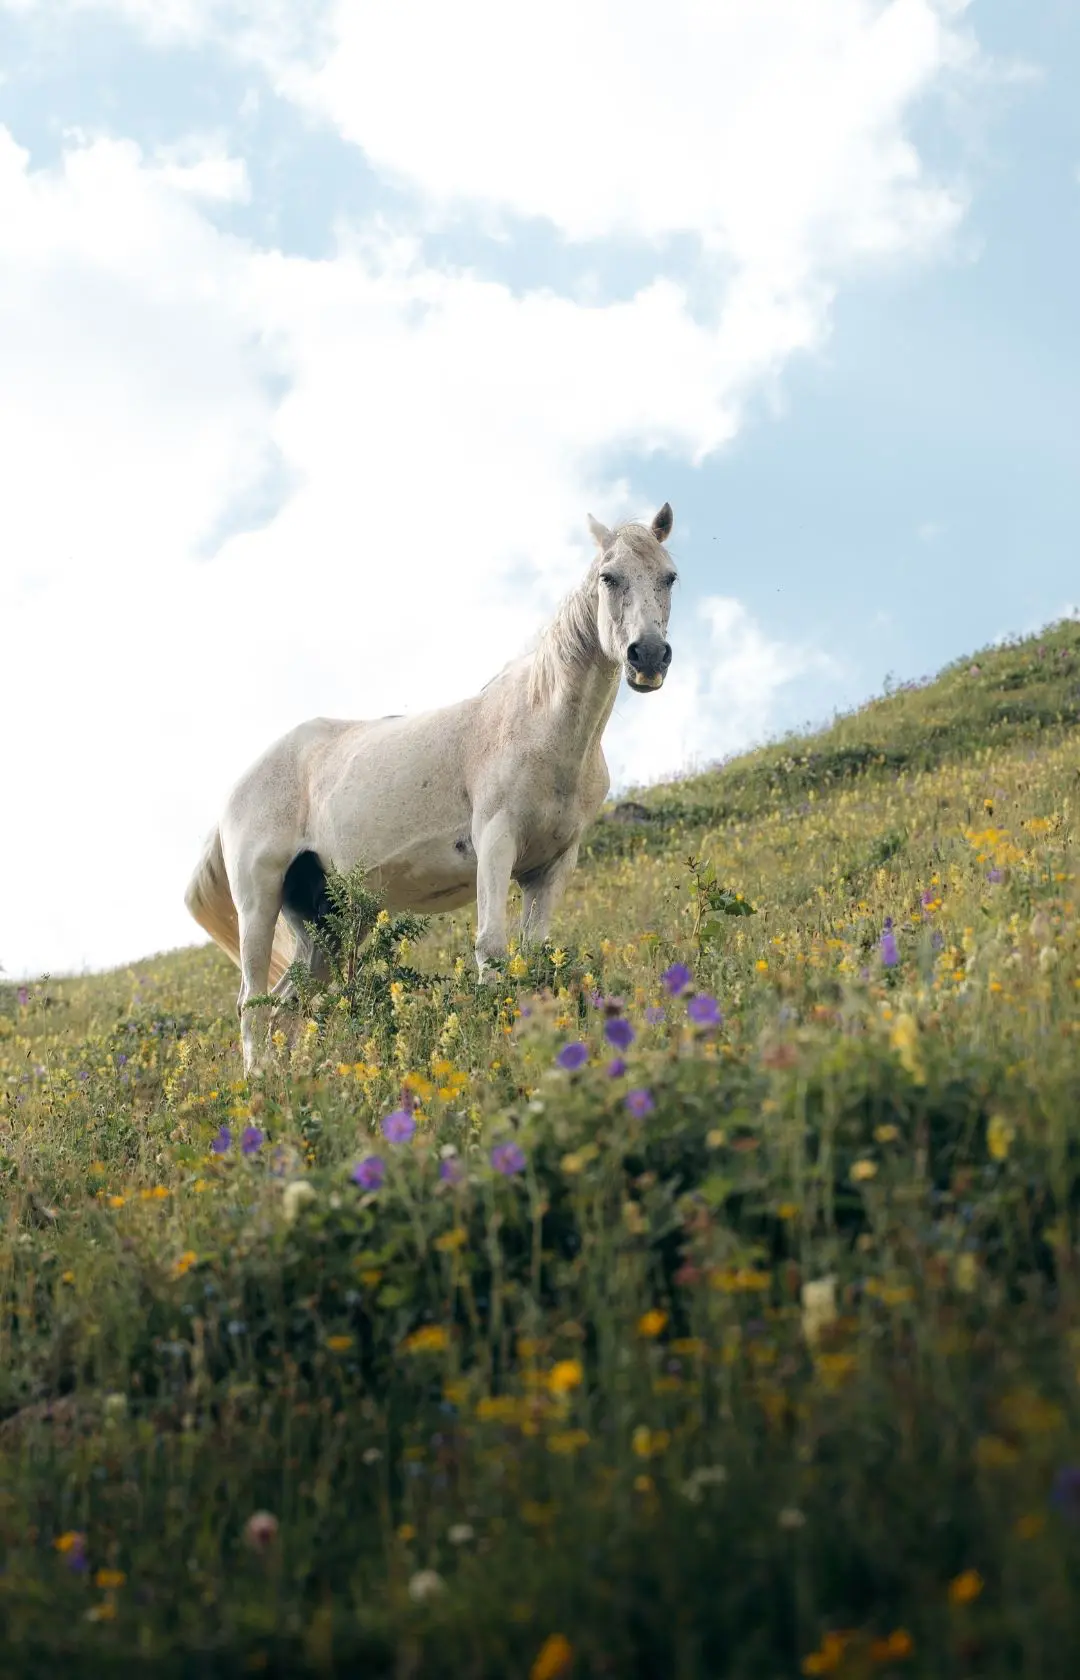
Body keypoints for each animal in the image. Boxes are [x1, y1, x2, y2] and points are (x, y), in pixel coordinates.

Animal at [185, 503, 677, 1072]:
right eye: (608, 577)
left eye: (669, 575)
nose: (648, 657)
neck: (541, 726)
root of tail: (234, 793)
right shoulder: (496, 842)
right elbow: (492, 946)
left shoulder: (552, 865)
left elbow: (534, 954)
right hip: (259, 901)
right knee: (253, 1002)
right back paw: (260, 1083)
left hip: (326, 919)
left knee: (291, 999)